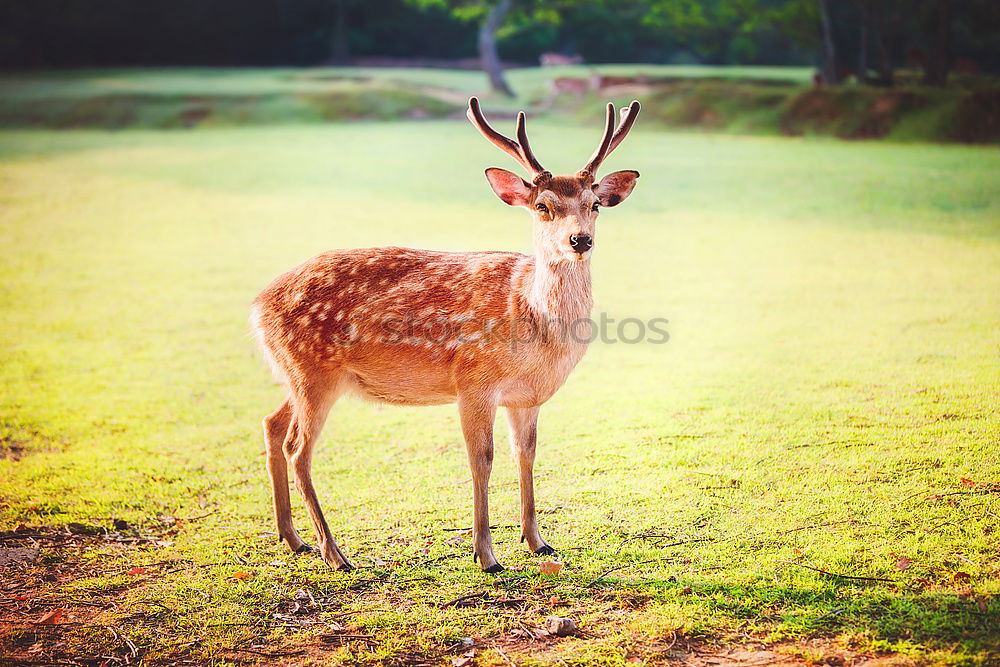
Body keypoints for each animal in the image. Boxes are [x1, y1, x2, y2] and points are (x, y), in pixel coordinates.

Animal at [250, 96, 640, 572]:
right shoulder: (473, 382)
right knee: (298, 448)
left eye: (595, 204)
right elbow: (482, 460)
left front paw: (538, 541)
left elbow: (526, 454)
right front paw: (486, 555)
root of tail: (258, 305)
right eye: (543, 206)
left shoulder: (527, 396)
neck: (533, 320)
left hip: (299, 373)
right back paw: (335, 553)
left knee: (271, 424)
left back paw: (293, 538)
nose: (579, 240)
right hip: (311, 370)